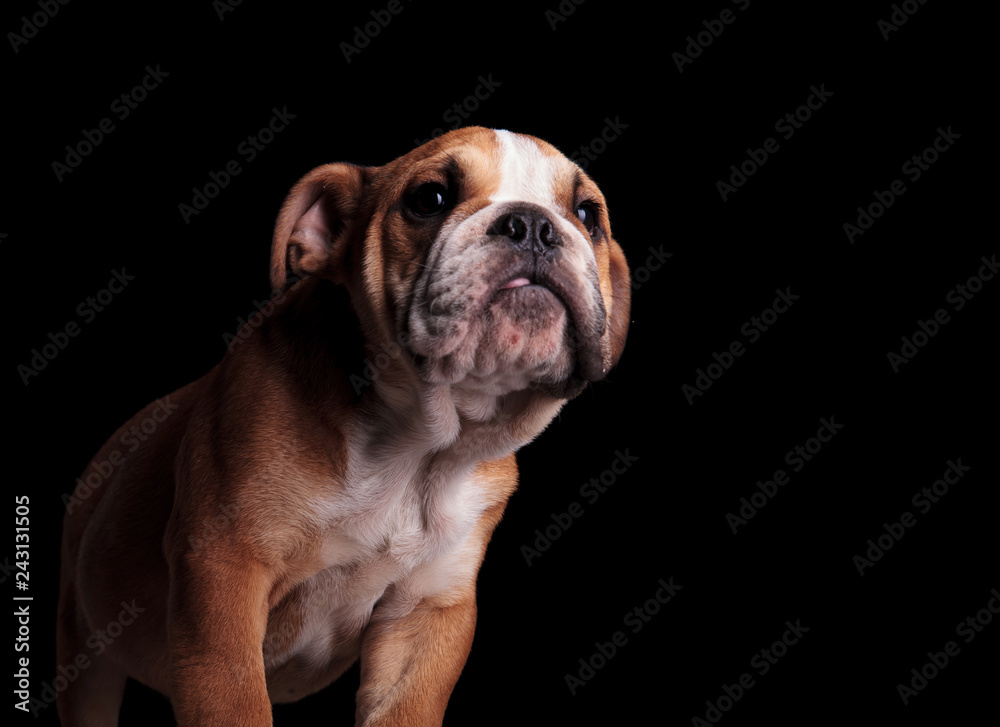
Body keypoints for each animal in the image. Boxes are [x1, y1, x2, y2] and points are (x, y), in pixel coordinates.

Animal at [58, 128, 628, 724]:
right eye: (430, 199)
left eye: (587, 213)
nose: (533, 225)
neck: (416, 445)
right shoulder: (221, 577)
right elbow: (234, 700)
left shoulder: (427, 613)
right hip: (84, 651)